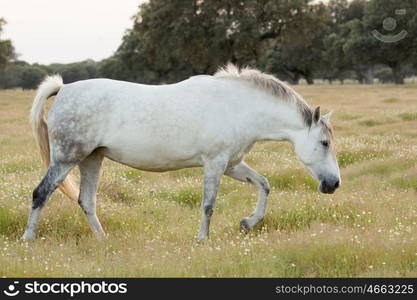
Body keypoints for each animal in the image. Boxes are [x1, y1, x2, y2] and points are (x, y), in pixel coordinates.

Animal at [22, 63, 338, 241]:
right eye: (325, 143)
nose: (334, 184)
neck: (239, 106)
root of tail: (63, 89)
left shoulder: (232, 164)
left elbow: (264, 184)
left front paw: (247, 223)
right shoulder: (215, 163)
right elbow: (208, 204)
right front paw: (202, 240)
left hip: (92, 158)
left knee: (86, 201)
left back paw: (104, 241)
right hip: (66, 159)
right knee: (41, 193)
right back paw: (28, 240)